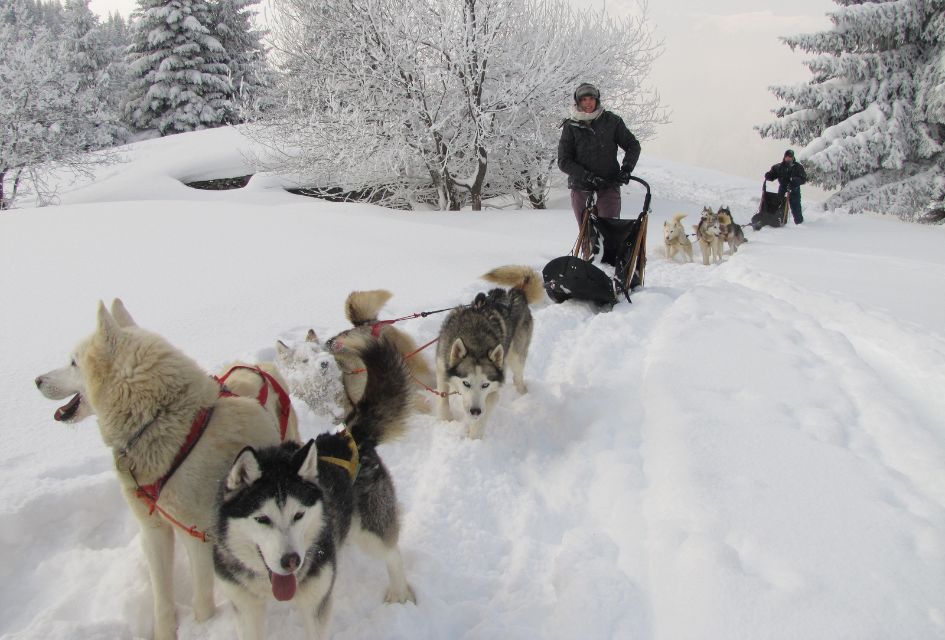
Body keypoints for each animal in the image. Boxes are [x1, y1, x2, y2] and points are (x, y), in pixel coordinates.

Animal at [34, 302, 292, 640]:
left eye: (73, 362)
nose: (37, 380)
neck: (161, 421)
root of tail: (260, 366)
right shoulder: (154, 530)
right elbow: (161, 598)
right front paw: (165, 630)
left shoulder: (197, 534)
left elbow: (202, 600)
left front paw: (204, 625)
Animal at [219, 332, 418, 636]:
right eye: (262, 519)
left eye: (299, 515)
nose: (292, 561)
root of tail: (347, 437)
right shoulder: (245, 607)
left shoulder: (316, 603)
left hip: (370, 530)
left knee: (391, 551)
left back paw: (400, 592)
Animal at [434, 262, 544, 438]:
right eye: (466, 383)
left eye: (485, 385)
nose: (475, 411)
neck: (475, 342)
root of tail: (518, 293)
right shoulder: (441, 367)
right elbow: (443, 397)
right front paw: (446, 419)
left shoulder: (492, 391)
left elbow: (481, 420)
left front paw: (473, 440)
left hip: (515, 357)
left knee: (518, 378)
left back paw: (523, 396)